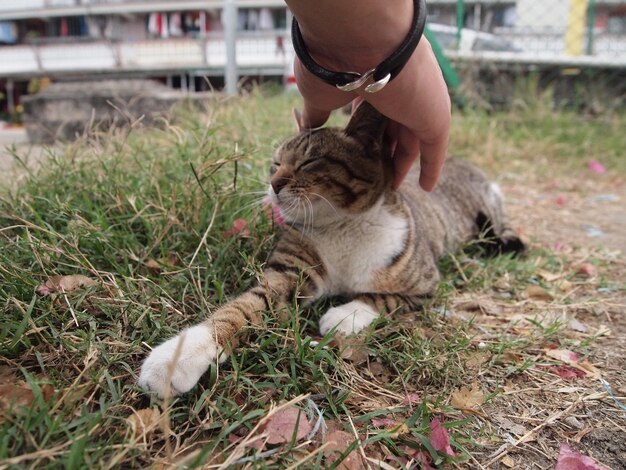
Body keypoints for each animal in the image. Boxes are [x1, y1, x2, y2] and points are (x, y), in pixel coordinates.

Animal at [138, 102, 520, 396]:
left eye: (310, 162)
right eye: (275, 163)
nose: (273, 184)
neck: (341, 228)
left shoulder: (425, 287)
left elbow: (384, 299)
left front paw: (345, 314)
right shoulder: (289, 274)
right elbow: (243, 307)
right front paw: (180, 354)